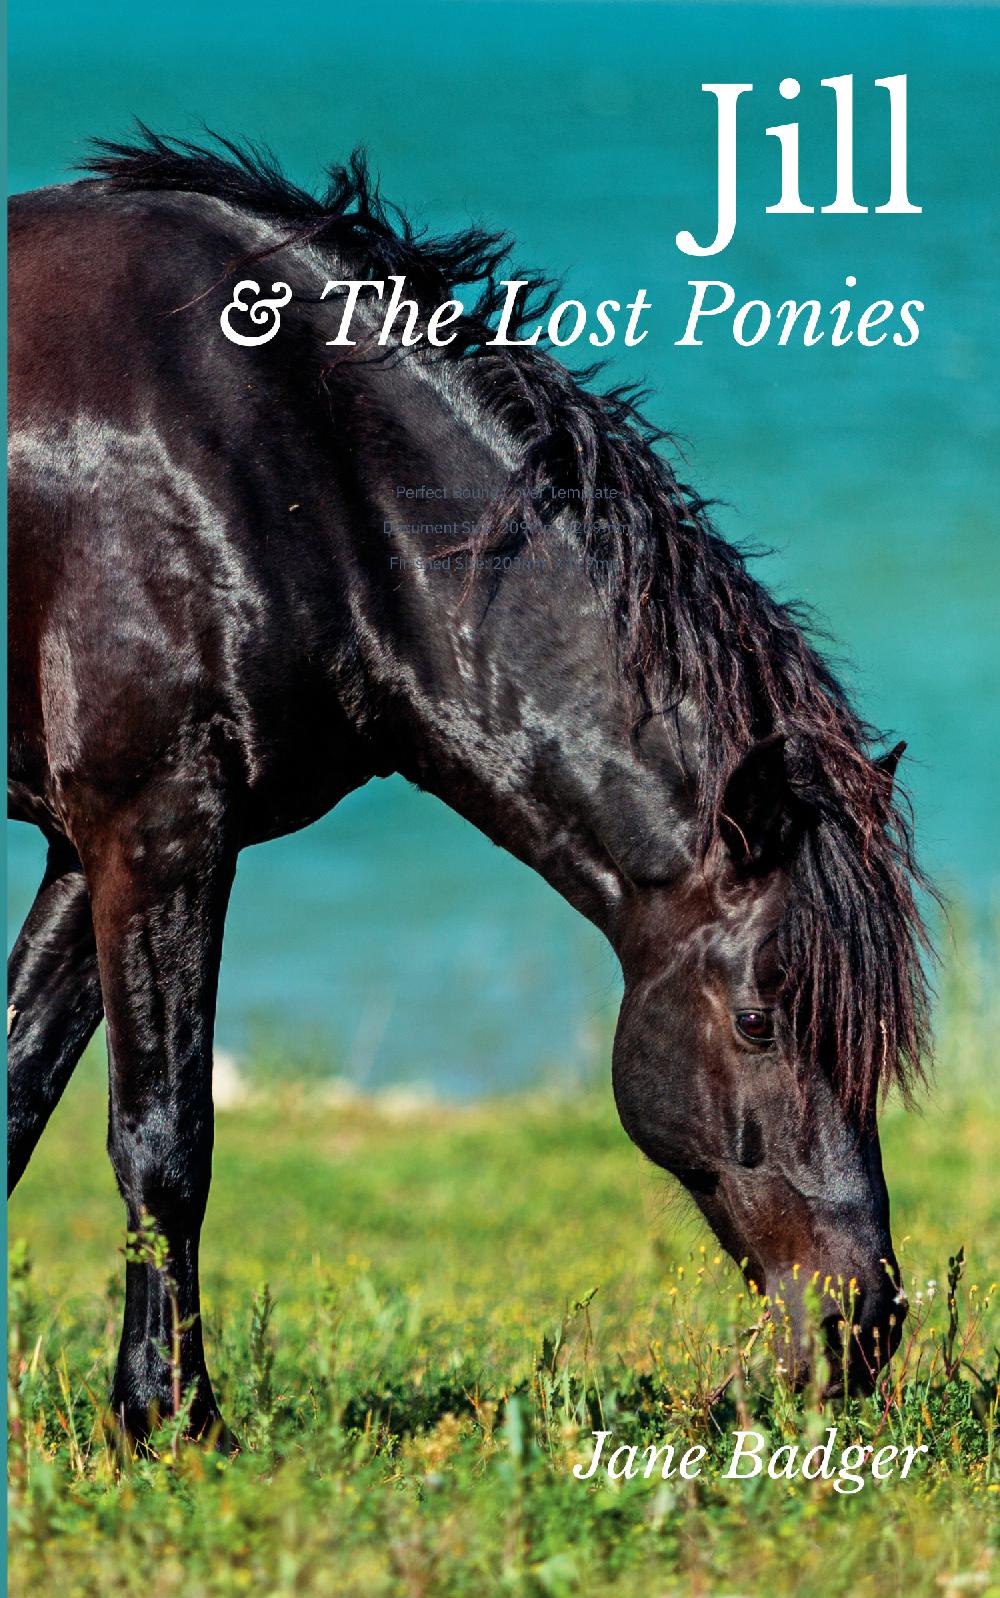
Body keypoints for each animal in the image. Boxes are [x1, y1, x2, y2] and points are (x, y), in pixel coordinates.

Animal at [7, 131, 933, 1443]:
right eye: (757, 1018)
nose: (862, 1324)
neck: (275, 457)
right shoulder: (154, 828)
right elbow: (162, 1135)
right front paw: (174, 1420)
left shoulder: (85, 849)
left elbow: (16, 1094)